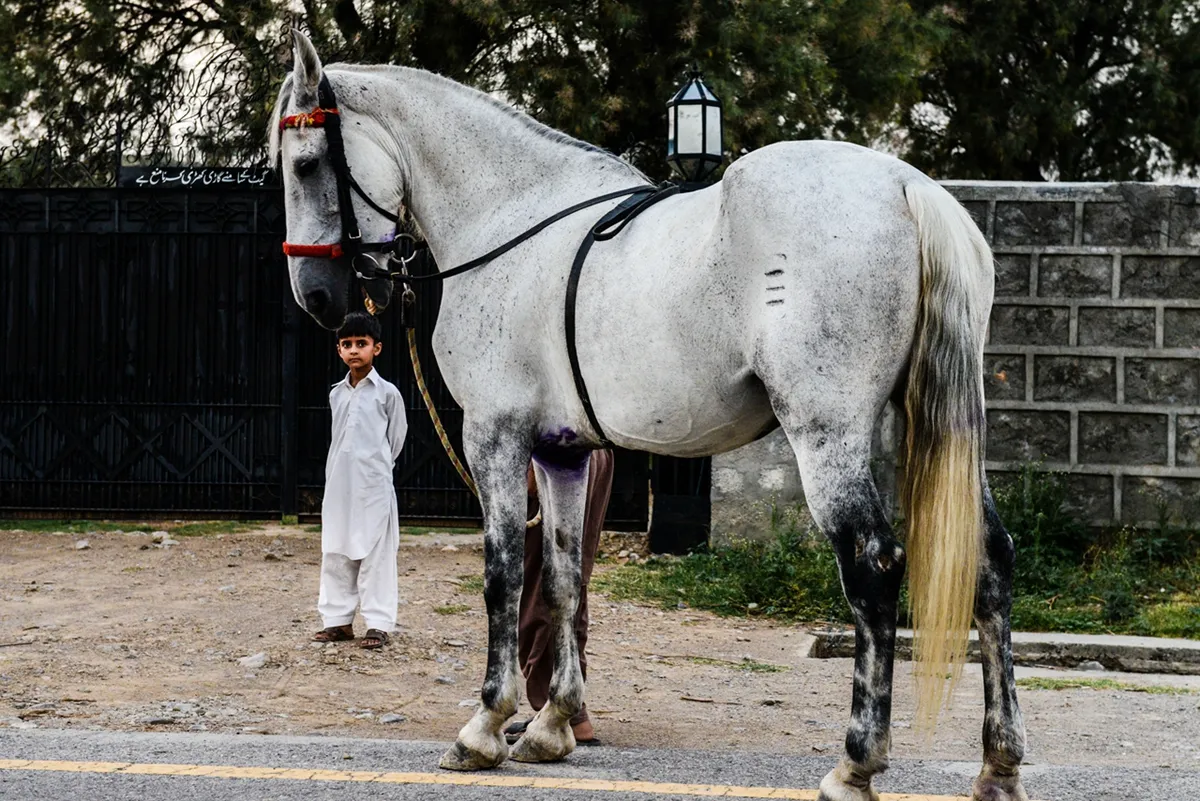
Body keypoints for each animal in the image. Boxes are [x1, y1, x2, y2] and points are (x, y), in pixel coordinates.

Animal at [270, 30, 1027, 801]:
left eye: (304, 164)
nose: (318, 297)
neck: (508, 218)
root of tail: (908, 187)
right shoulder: (562, 453)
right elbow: (566, 577)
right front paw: (553, 723)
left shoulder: (494, 437)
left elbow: (503, 576)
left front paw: (486, 725)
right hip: (932, 430)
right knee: (991, 560)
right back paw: (997, 766)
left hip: (829, 435)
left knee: (873, 565)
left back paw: (856, 764)